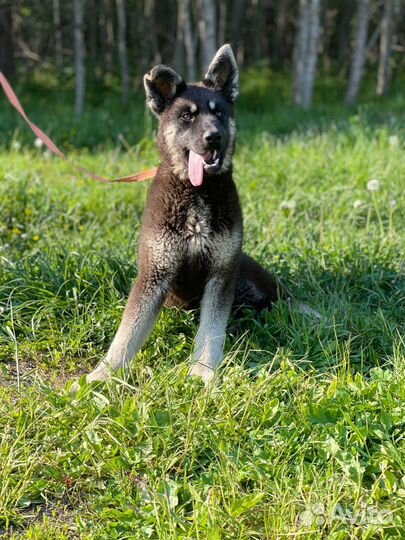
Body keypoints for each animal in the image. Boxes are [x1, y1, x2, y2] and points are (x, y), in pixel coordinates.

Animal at [83, 45, 290, 384]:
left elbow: (211, 331)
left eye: (219, 113)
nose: (214, 137)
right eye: (187, 116)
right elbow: (127, 333)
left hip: (246, 271)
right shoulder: (154, 274)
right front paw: (103, 374)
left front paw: (202, 372)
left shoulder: (221, 274)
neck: (195, 193)